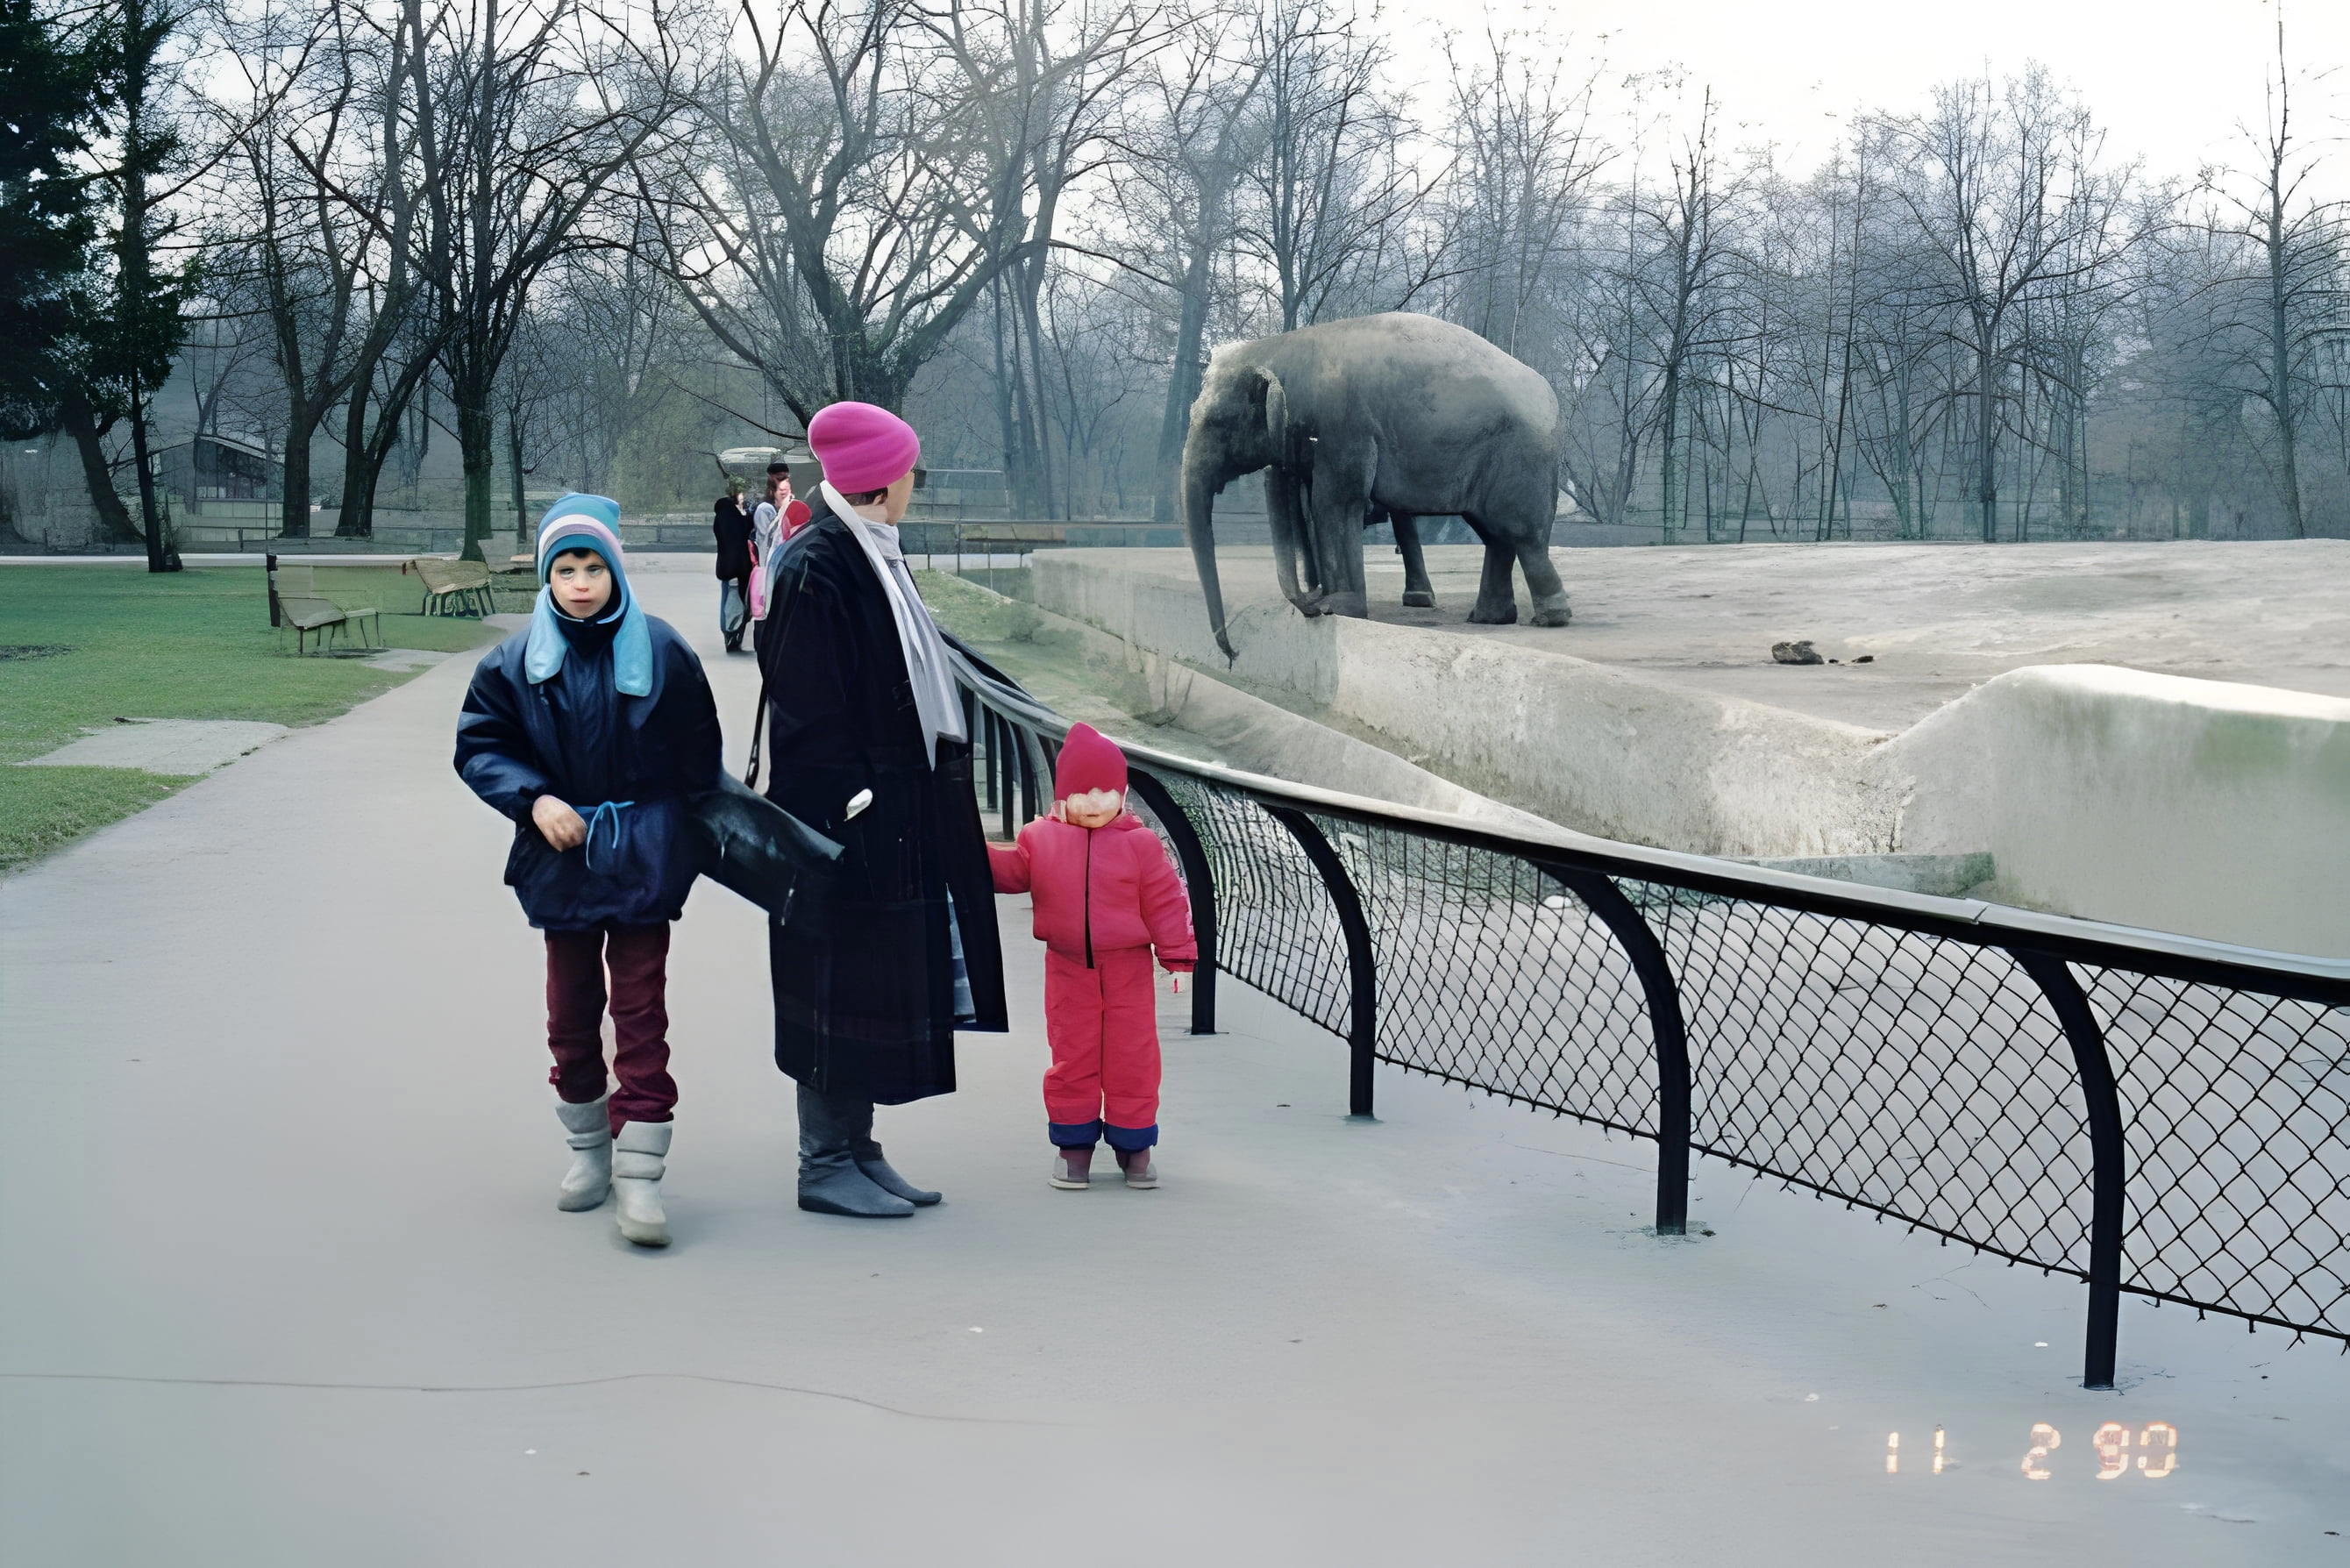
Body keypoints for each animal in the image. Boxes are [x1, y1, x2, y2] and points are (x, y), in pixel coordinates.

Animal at [1175, 312, 1578, 662]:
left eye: (1219, 423)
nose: (1232, 653)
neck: (1278, 348)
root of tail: (1553, 399)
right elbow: (1317, 503)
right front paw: (1327, 600)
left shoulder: (1345, 425)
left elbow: (1333, 501)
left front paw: (1336, 608)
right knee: (1494, 534)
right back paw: (1488, 618)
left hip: (1521, 455)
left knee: (1519, 531)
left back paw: (1550, 618)